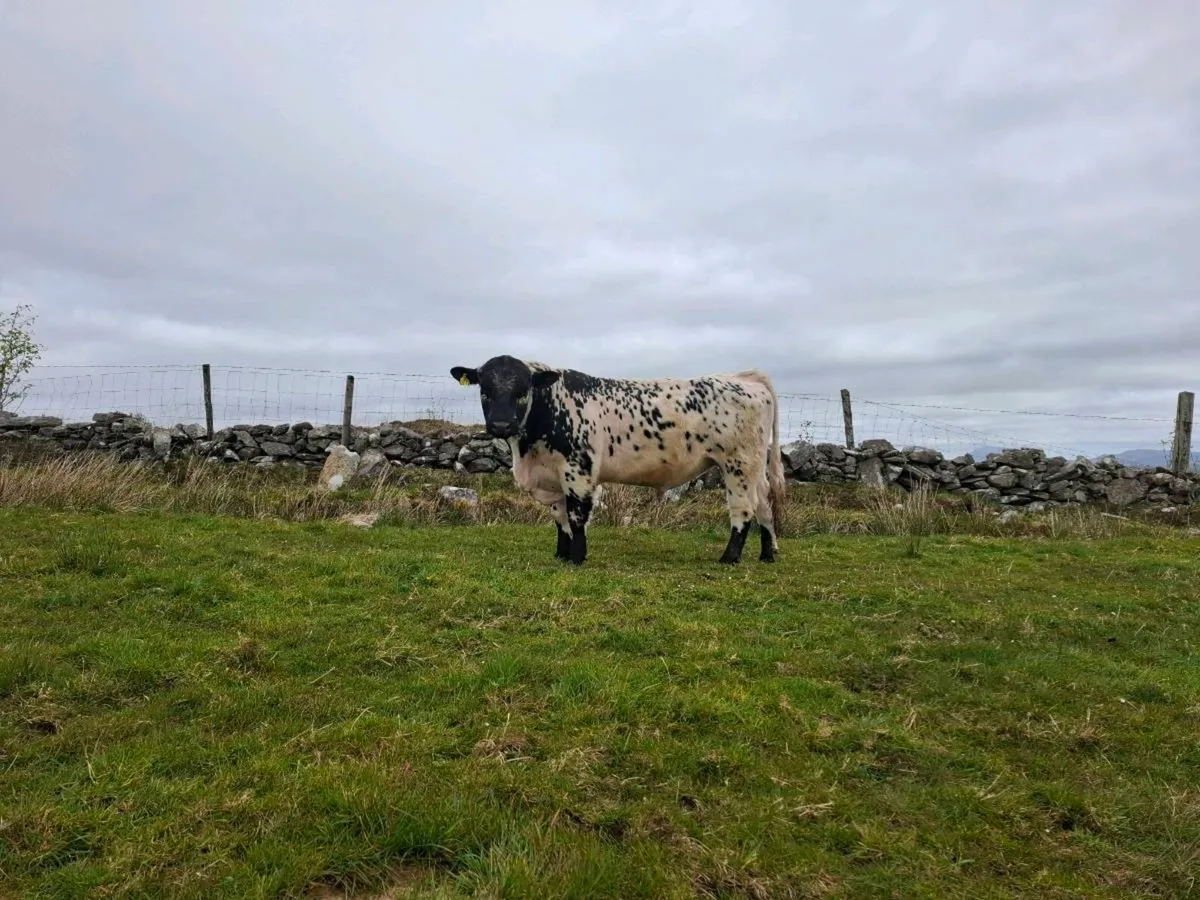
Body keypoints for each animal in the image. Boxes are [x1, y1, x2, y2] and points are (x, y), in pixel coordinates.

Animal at [449, 355, 786, 566]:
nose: (501, 425)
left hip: (738, 464)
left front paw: (576, 558)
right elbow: (559, 518)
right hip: (754, 468)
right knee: (764, 504)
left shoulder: (579, 470)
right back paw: (768, 554)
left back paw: (729, 557)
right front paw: (561, 553)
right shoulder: (552, 477)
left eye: (523, 389)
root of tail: (745, 377)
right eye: (484, 389)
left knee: (743, 509)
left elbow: (576, 516)